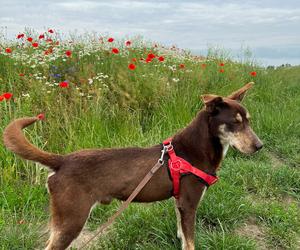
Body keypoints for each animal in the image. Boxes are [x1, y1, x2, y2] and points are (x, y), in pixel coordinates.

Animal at [2, 83, 262, 249]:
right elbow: (190, 242)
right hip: (71, 220)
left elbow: (181, 235)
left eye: (248, 121)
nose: (259, 146)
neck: (194, 149)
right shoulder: (189, 205)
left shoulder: (179, 204)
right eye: (234, 123)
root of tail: (62, 160)